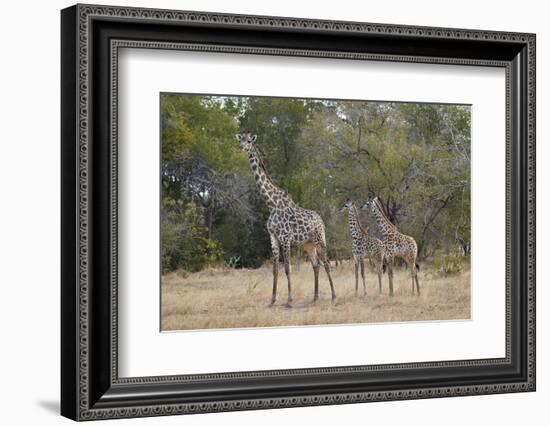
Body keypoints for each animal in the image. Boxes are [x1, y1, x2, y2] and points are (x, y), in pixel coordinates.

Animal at [236, 131, 336, 304]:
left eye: (249, 141)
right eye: (240, 140)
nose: (241, 147)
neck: (272, 204)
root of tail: (321, 221)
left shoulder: (285, 238)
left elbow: (287, 268)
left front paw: (289, 300)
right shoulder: (273, 237)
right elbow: (275, 269)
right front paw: (272, 300)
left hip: (319, 239)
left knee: (327, 263)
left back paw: (333, 296)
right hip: (308, 244)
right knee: (316, 265)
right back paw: (315, 297)